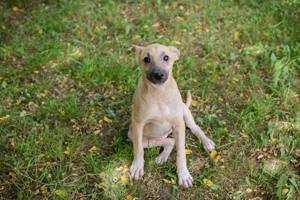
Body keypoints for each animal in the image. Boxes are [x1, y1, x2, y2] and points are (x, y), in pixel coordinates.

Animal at [127, 43, 216, 188]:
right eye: (146, 59)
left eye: (166, 57)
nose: (158, 74)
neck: (159, 94)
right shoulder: (138, 124)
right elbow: (138, 149)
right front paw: (137, 166)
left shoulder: (179, 125)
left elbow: (181, 153)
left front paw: (183, 174)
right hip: (135, 135)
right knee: (170, 142)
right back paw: (162, 157)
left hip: (185, 112)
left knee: (194, 128)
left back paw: (206, 142)